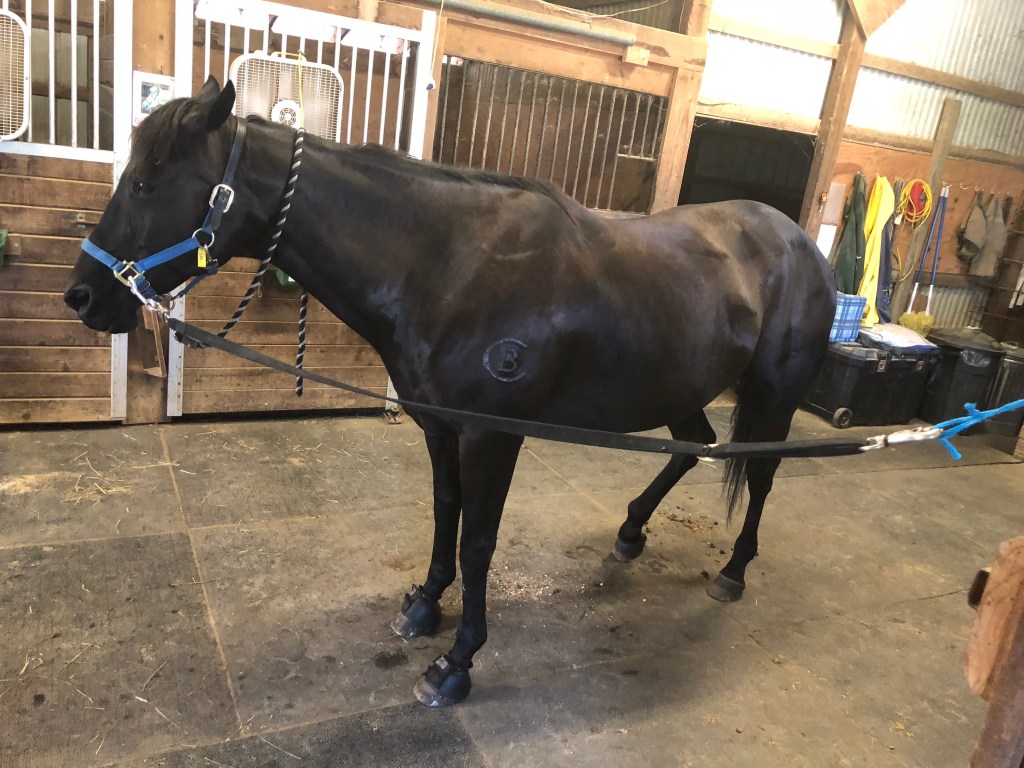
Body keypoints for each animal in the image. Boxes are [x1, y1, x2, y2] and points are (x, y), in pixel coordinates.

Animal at [65, 78, 837, 707]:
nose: (82, 295)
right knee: (694, 447)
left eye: (147, 183)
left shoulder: (491, 435)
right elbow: (444, 515)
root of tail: (798, 240)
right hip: (682, 387)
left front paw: (458, 661)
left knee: (761, 475)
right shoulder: (441, 427)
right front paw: (422, 607)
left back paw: (732, 571)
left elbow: (478, 541)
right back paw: (630, 532)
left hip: (774, 393)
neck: (447, 263)